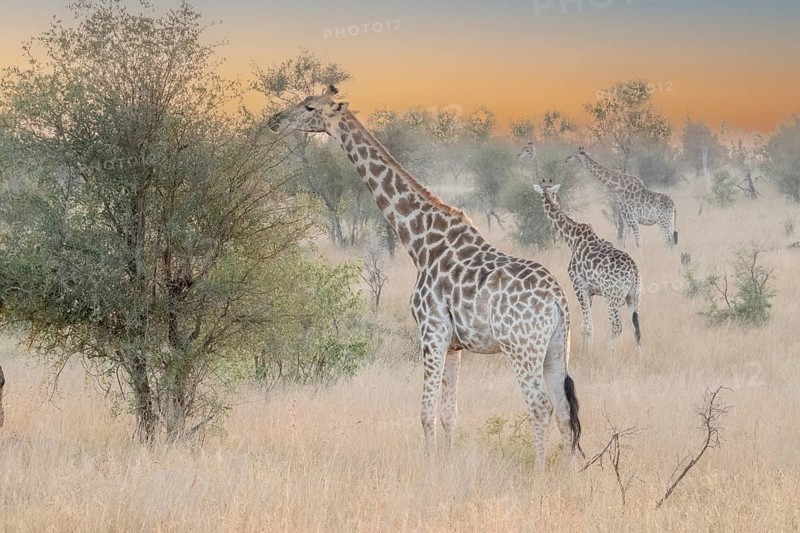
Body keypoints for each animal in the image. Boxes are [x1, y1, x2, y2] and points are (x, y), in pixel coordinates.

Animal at [268, 86, 582, 467]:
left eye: (309, 107)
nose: (274, 121)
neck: (419, 241)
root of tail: (558, 300)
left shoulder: (431, 332)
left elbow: (425, 411)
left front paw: (430, 466)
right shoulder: (455, 344)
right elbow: (449, 412)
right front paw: (447, 462)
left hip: (521, 347)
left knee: (540, 406)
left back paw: (538, 471)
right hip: (555, 347)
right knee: (564, 409)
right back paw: (568, 470)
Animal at [533, 181, 642, 347]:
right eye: (554, 194)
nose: (555, 202)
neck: (571, 238)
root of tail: (634, 271)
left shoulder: (579, 285)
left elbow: (587, 326)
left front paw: (588, 350)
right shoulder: (591, 291)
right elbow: (584, 326)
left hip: (612, 297)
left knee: (616, 326)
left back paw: (608, 351)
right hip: (632, 297)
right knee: (636, 327)